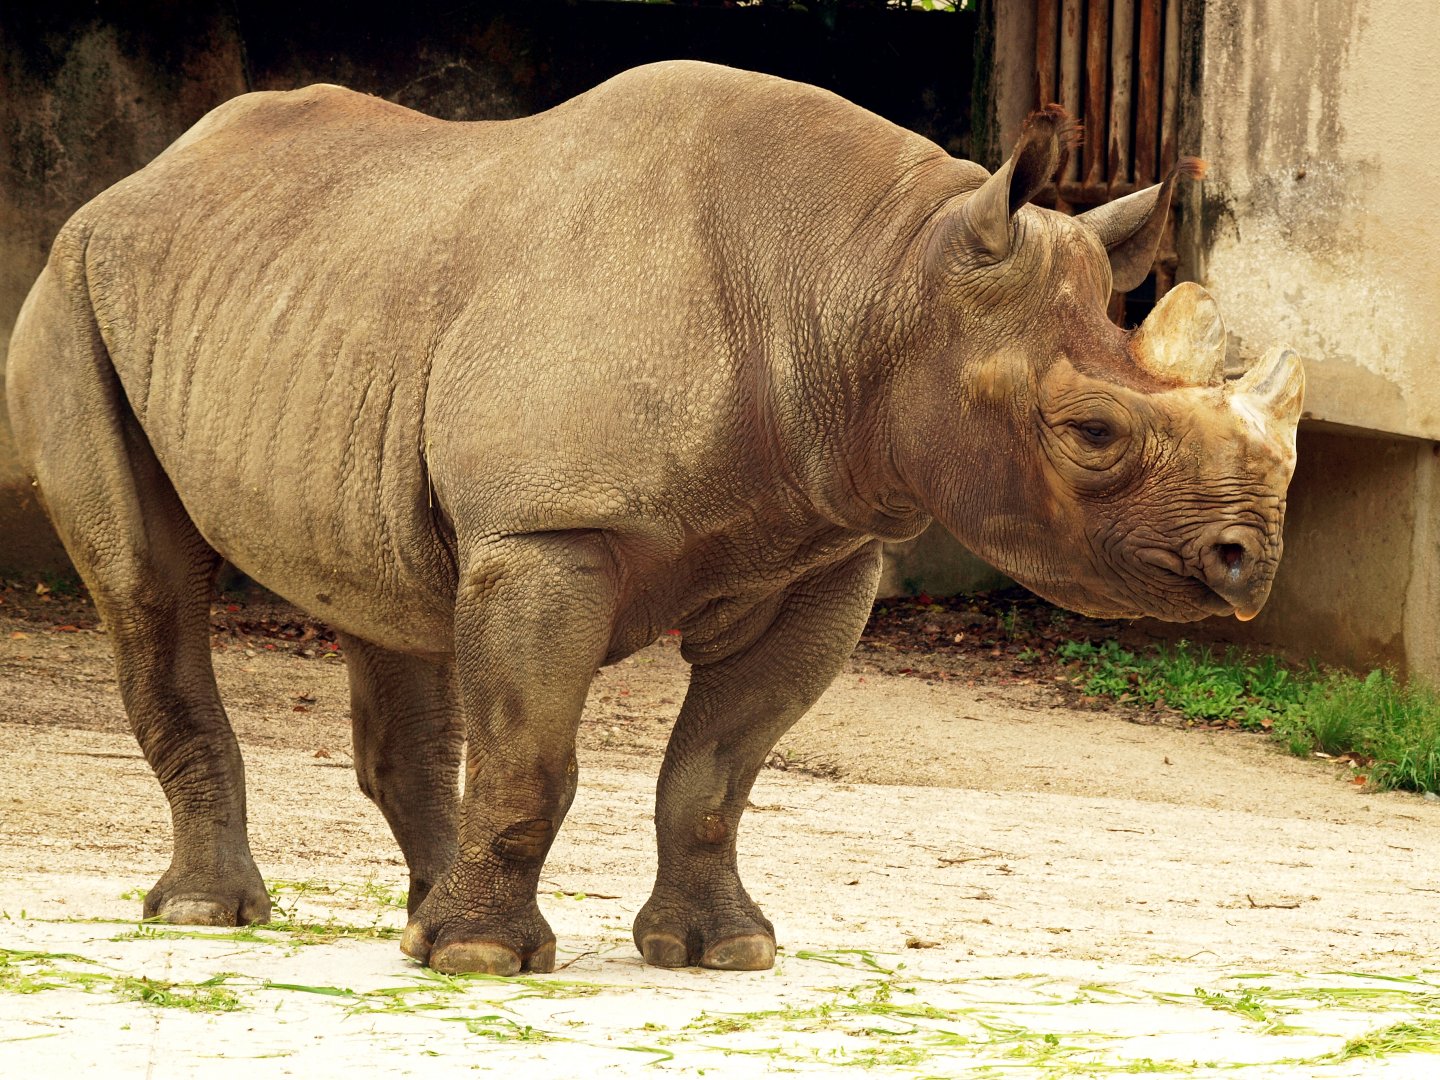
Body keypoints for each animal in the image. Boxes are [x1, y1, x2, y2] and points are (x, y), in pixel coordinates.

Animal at [6, 61, 1302, 975]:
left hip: (321, 298)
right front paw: (486, 961)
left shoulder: (825, 548)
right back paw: (215, 917)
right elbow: (535, 751)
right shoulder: (550, 532)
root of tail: (141, 177)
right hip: (73, 287)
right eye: (1091, 434)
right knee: (150, 587)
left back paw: (416, 922)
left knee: (389, 588)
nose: (1250, 562)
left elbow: (718, 768)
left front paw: (722, 950)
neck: (878, 282)